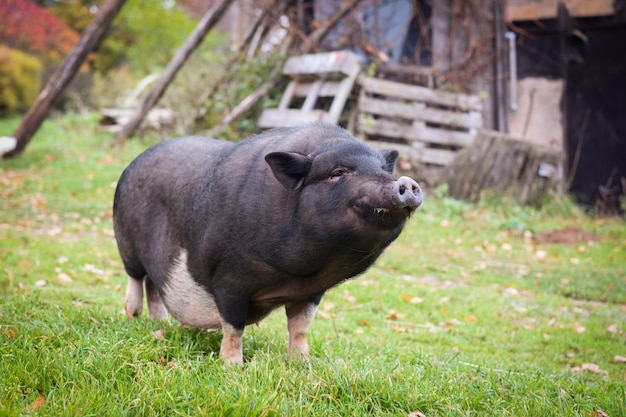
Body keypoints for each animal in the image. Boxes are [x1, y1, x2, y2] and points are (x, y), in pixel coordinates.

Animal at [114, 122, 422, 362]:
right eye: (338, 173)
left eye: (383, 169)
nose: (406, 182)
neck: (297, 275)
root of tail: (132, 163)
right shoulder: (229, 278)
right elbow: (234, 327)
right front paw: (233, 367)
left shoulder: (311, 292)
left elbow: (300, 327)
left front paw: (302, 365)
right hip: (125, 243)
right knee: (135, 279)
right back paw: (133, 318)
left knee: (154, 286)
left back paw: (158, 323)